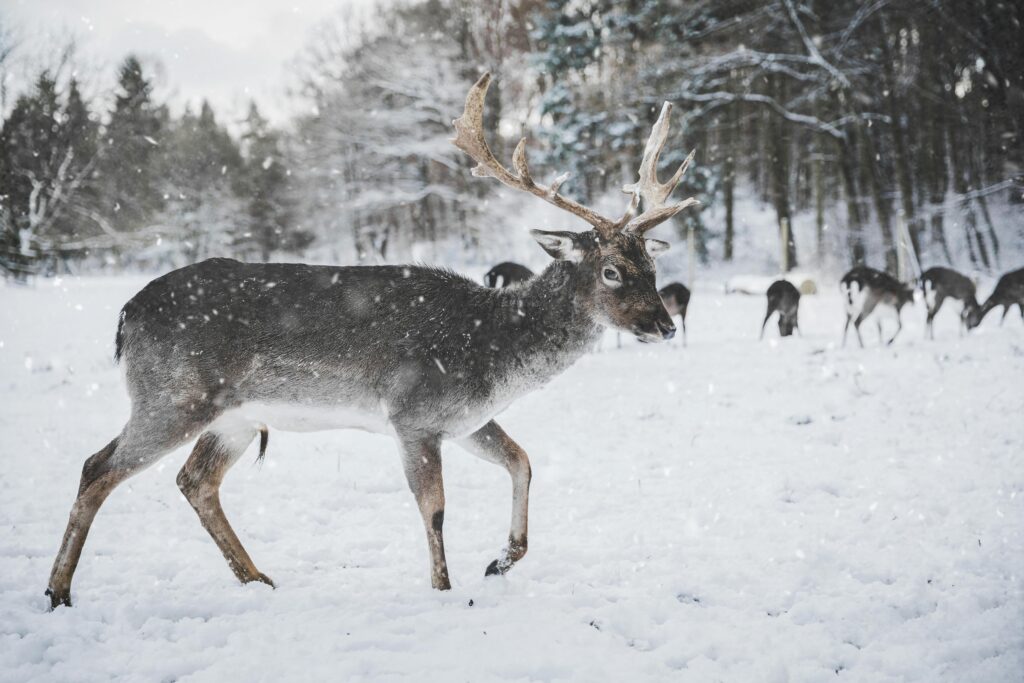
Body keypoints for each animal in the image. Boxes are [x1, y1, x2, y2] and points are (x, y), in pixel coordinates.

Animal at [44, 72, 698, 609]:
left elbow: (523, 461)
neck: (493, 352)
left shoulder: (465, 419)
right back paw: (59, 591)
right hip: (173, 395)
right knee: (97, 467)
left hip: (233, 416)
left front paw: (500, 560)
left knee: (194, 481)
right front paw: (444, 590)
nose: (664, 325)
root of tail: (126, 315)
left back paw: (258, 579)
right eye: (611, 270)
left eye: (651, 264)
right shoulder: (414, 413)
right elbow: (435, 509)